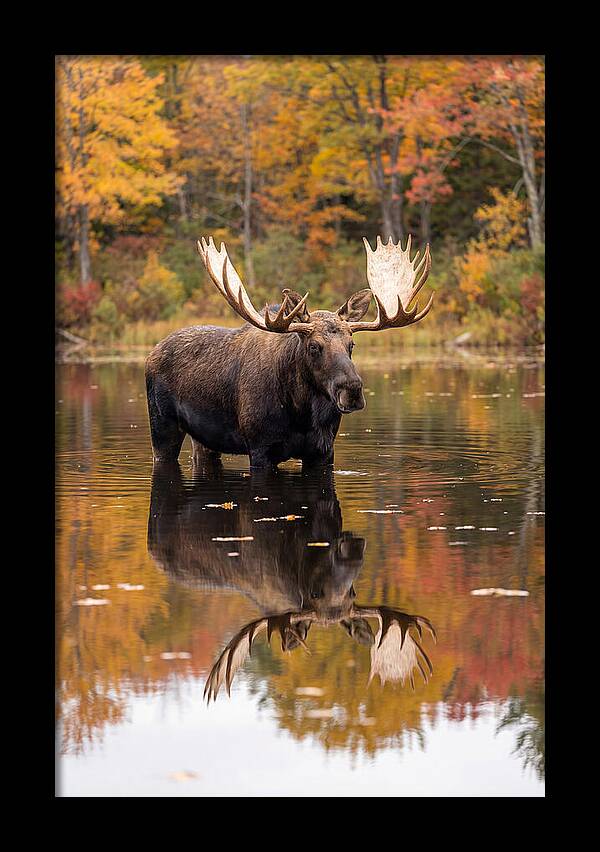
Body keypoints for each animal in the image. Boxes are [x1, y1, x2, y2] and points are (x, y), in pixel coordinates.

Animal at [145, 235, 433, 470]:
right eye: (314, 346)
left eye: (352, 345)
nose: (351, 390)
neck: (301, 413)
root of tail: (152, 352)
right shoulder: (260, 448)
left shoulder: (323, 451)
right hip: (162, 426)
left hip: (204, 439)